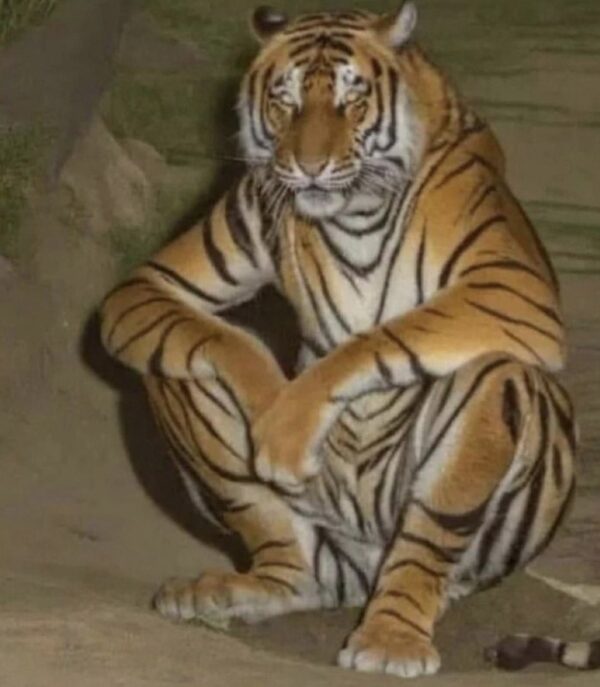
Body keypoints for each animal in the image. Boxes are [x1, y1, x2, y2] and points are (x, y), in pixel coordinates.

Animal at [98, 2, 598, 678]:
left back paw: (391, 638)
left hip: (472, 480)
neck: (353, 211)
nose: (308, 166)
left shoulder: (513, 288)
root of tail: (358, 575)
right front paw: (270, 413)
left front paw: (288, 422)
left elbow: (381, 338)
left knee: (440, 513)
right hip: (269, 488)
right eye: (284, 101)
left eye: (351, 101)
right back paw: (240, 588)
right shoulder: (163, 279)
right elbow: (224, 338)